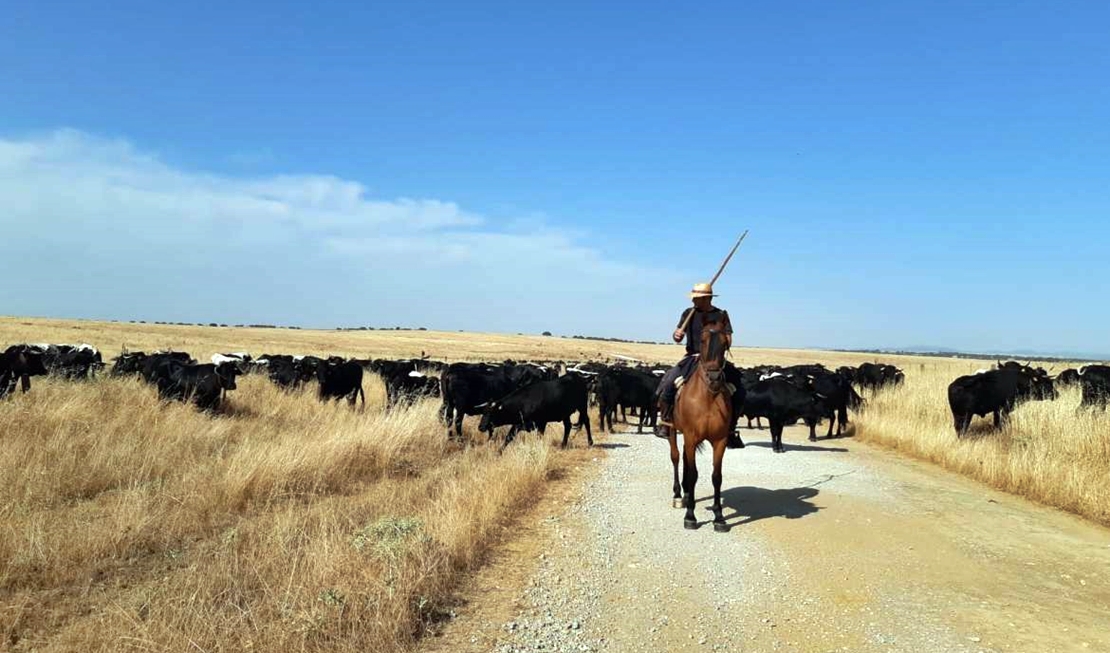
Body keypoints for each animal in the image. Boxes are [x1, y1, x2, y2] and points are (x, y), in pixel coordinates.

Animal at [670, 319, 732, 530]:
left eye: (725, 342)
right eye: (702, 340)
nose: (714, 379)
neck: (708, 398)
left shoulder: (720, 441)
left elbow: (716, 476)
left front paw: (719, 516)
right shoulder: (691, 437)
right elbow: (693, 474)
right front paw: (690, 516)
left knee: (685, 460)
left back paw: (688, 494)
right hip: (672, 430)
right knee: (676, 457)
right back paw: (678, 495)